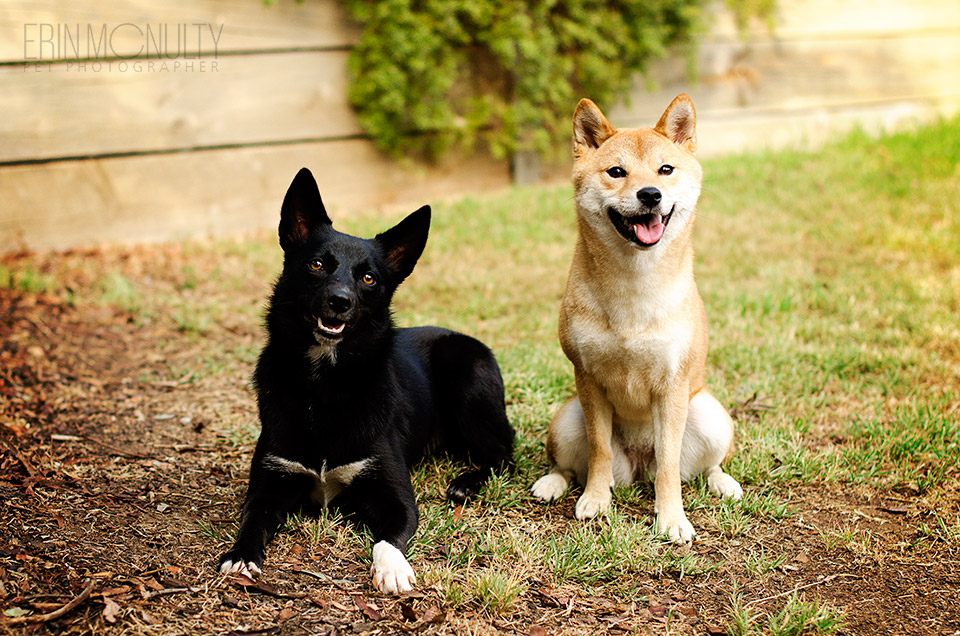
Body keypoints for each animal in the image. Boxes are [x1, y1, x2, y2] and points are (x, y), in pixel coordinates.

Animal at [218, 170, 516, 596]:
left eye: (369, 277)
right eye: (316, 265)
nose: (340, 301)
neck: (324, 386)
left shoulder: (397, 499)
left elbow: (387, 539)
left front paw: (393, 569)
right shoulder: (267, 486)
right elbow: (251, 520)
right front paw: (241, 554)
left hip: (466, 373)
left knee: (504, 453)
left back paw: (467, 482)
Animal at [532, 94, 744, 540]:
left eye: (665, 169)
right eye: (617, 172)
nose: (650, 194)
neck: (633, 284)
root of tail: (637, 464)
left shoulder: (672, 385)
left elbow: (669, 465)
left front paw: (672, 518)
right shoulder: (588, 379)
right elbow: (597, 451)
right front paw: (596, 499)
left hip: (709, 413)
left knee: (703, 466)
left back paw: (723, 483)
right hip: (567, 417)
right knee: (570, 465)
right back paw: (553, 482)